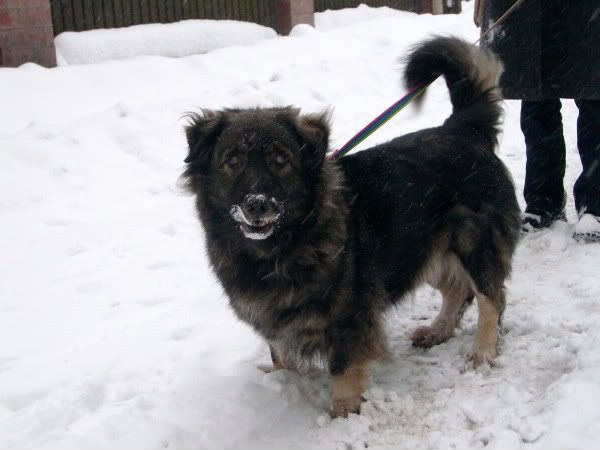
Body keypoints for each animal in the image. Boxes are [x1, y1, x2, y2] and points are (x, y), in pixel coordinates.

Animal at [181, 37, 521, 418]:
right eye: (232, 161)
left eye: (281, 160)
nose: (257, 204)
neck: (281, 247)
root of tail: (463, 128)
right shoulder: (278, 323)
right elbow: (282, 355)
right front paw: (285, 384)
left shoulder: (350, 312)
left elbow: (343, 364)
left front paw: (343, 409)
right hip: (419, 250)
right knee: (456, 290)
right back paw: (438, 331)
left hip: (473, 241)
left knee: (491, 297)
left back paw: (483, 350)